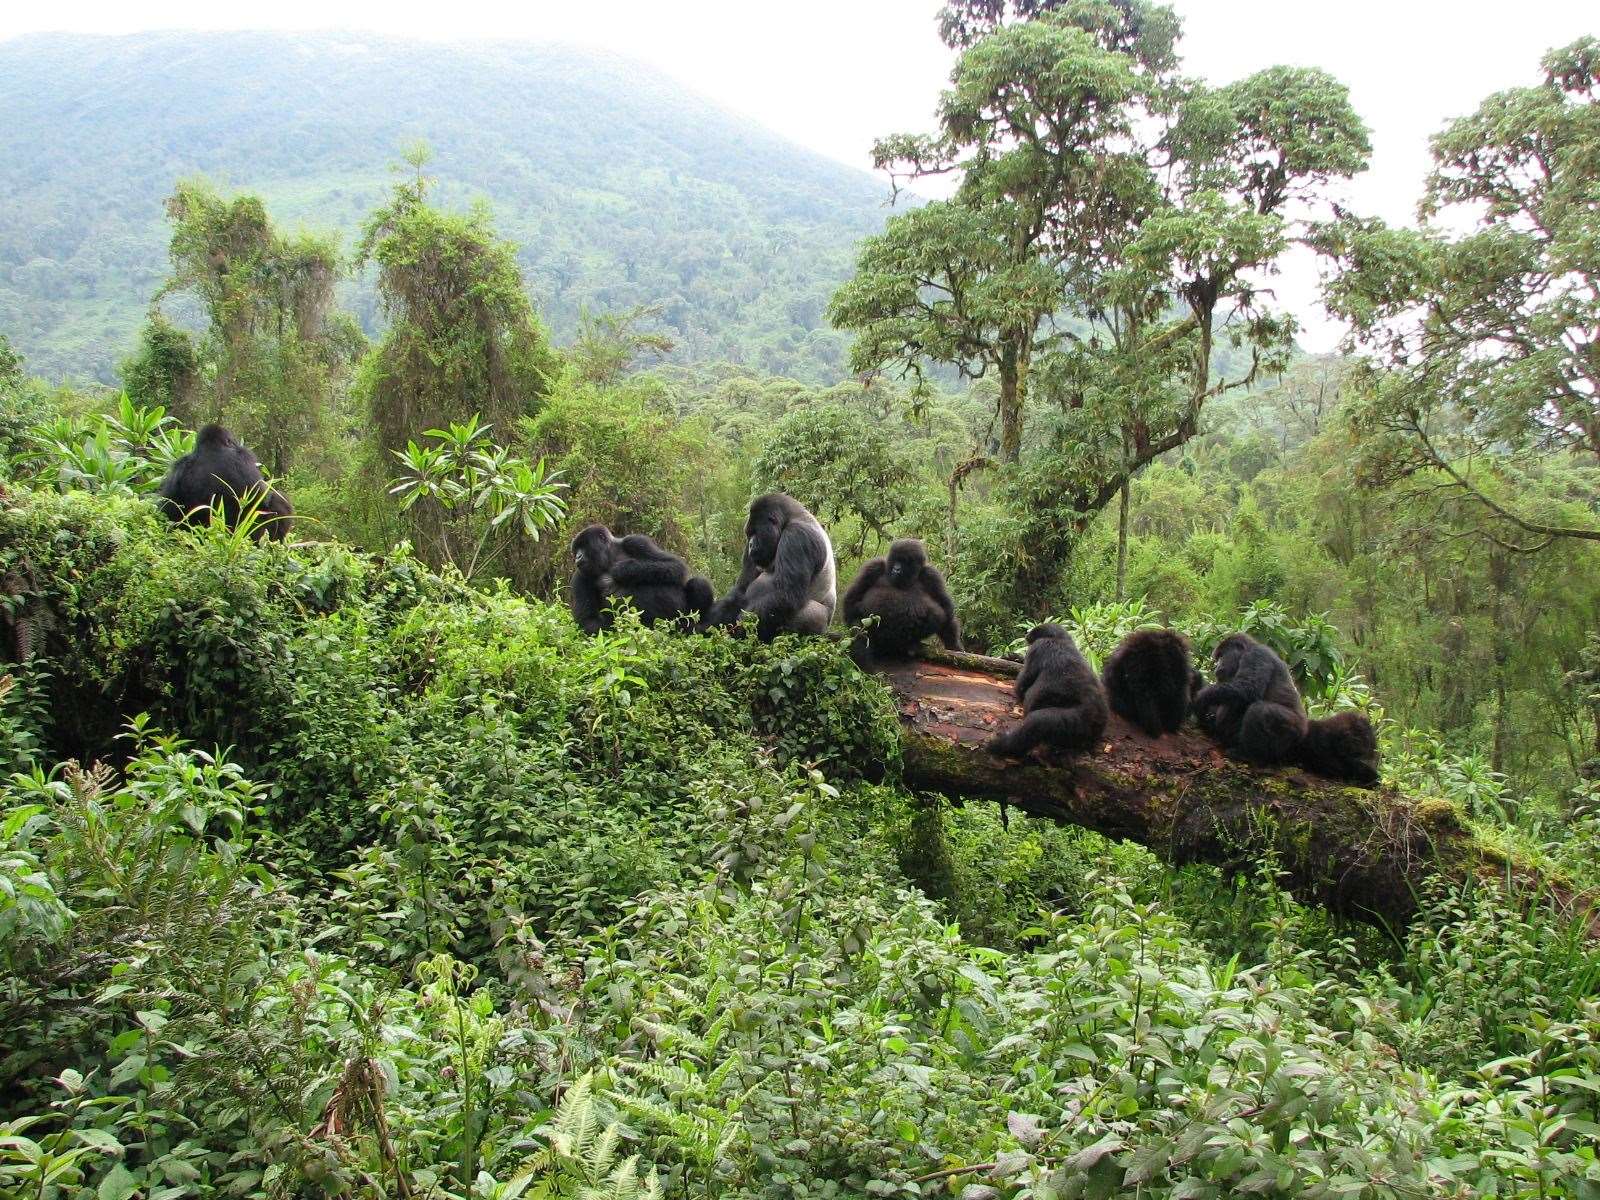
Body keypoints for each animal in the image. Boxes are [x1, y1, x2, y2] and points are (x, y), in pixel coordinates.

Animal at [157, 419, 296, 537]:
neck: (212, 448)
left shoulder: (180, 466)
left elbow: (169, 505)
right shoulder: (244, 456)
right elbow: (264, 497)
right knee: (277, 500)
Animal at [566, 524, 710, 640]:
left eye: (584, 546)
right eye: (576, 549)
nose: (577, 557)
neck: (609, 557)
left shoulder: (635, 541)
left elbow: (675, 566)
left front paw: (624, 570)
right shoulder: (579, 576)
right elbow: (589, 621)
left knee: (698, 583)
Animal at [710, 492, 838, 643]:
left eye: (755, 532)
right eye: (749, 533)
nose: (751, 544)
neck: (791, 517)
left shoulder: (797, 536)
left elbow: (785, 594)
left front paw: (741, 629)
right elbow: (741, 590)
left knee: (809, 614)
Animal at [979, 624, 1107, 755]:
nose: (1027, 636)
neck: (1059, 639)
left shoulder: (1037, 648)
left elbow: (1024, 680)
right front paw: (1014, 658)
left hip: (1072, 721)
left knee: (1037, 722)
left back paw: (1000, 744)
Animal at [1196, 633, 1305, 764]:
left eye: (1222, 655)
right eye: (1218, 658)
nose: (1217, 666)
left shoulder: (1255, 655)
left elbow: (1248, 688)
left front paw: (1201, 697)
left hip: (1294, 733)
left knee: (1259, 710)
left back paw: (1250, 755)